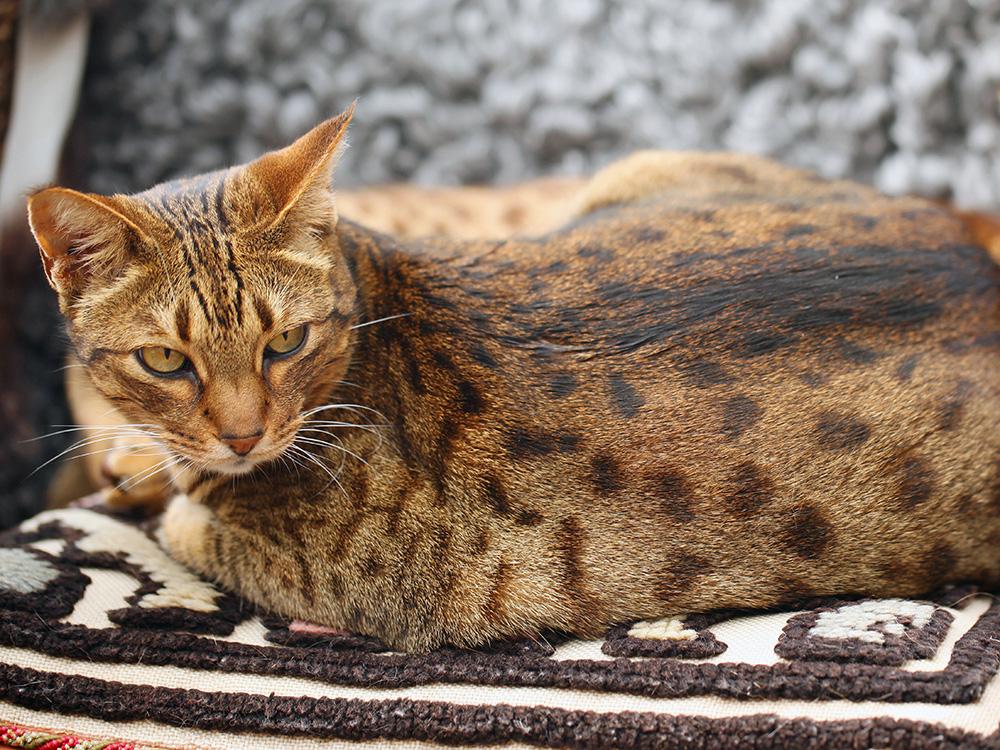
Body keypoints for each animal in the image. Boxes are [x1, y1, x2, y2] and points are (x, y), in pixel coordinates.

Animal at [27, 104, 1000, 652]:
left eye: (285, 342)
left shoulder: (368, 589)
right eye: (165, 358)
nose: (240, 434)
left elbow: (190, 523)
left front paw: (160, 485)